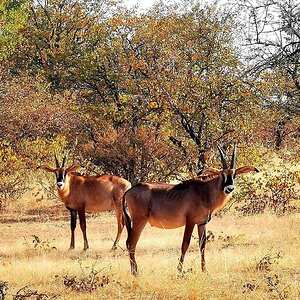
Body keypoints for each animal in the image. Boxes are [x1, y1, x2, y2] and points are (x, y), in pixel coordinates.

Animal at [122, 144, 258, 276]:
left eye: (234, 175)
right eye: (222, 174)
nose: (229, 188)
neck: (205, 192)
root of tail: (128, 191)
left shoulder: (201, 223)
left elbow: (202, 245)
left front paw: (204, 270)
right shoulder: (190, 222)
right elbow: (185, 244)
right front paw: (179, 271)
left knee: (129, 243)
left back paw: (134, 271)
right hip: (140, 221)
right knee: (131, 243)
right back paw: (135, 272)